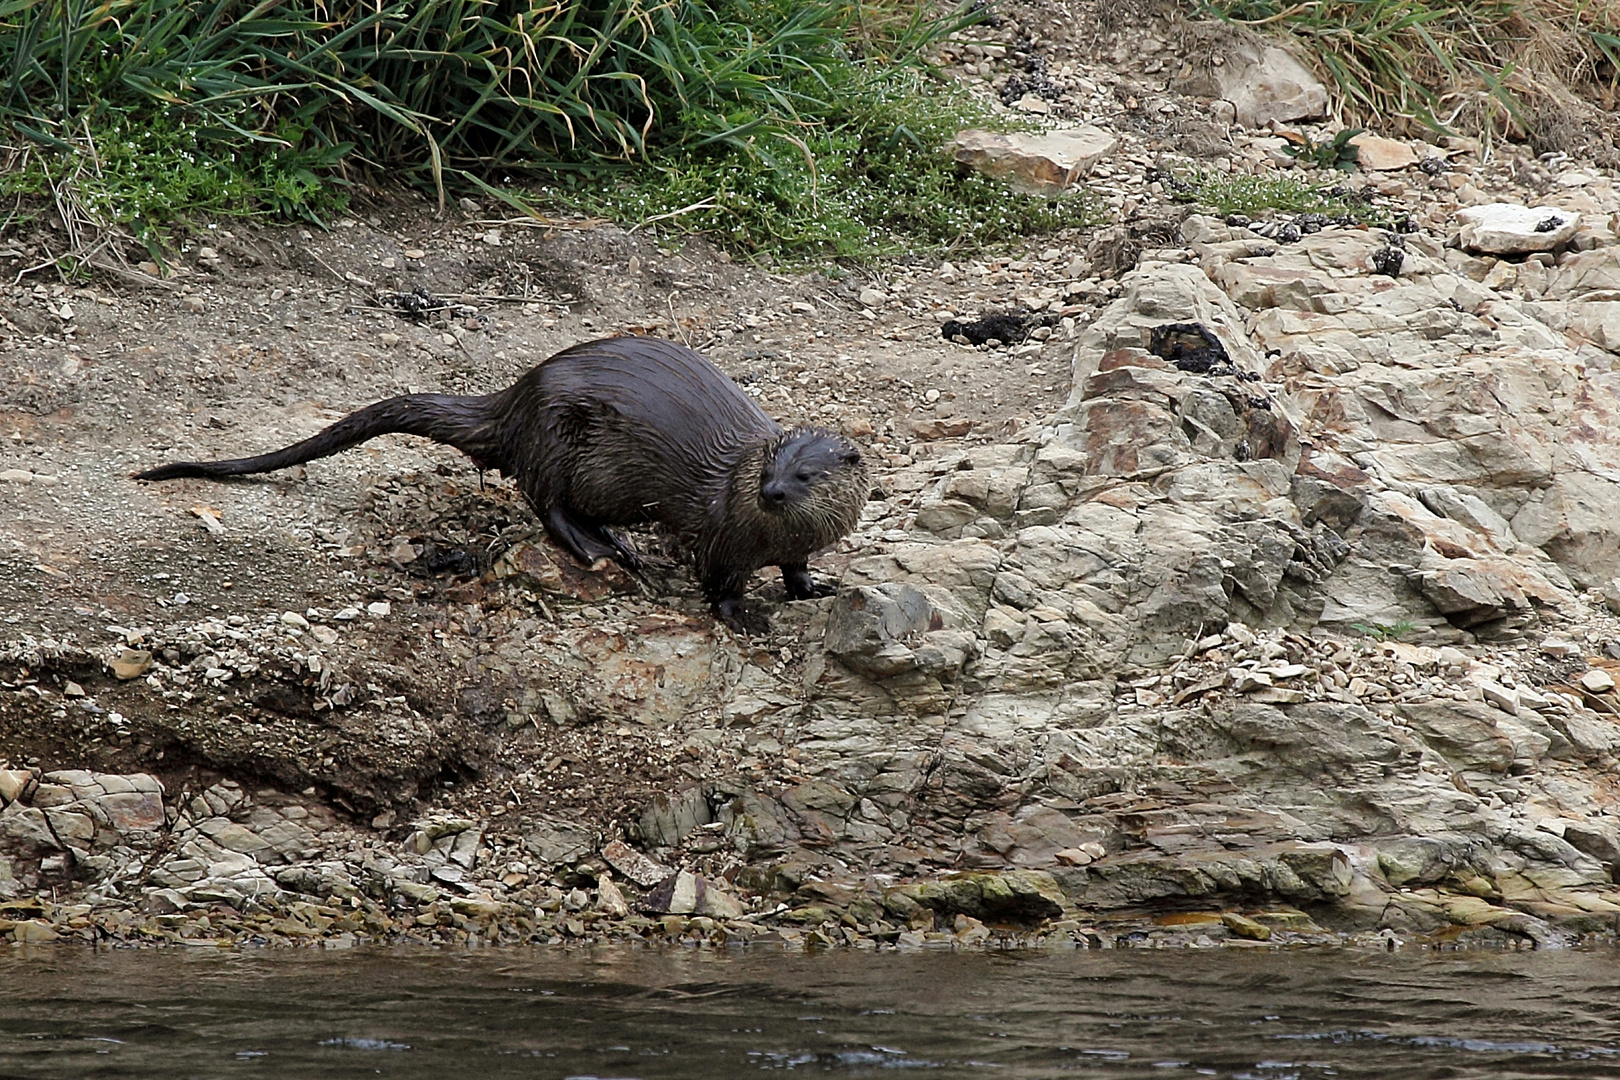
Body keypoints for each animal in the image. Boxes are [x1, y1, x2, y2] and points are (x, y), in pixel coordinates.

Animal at [136, 333, 874, 628]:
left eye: (806, 474)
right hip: (559, 442)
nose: (771, 493)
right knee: (547, 502)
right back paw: (603, 547)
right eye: (771, 470)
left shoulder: (795, 543)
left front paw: (815, 588)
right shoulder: (721, 536)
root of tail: (518, 396)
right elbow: (717, 581)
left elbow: (799, 569)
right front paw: (741, 615)